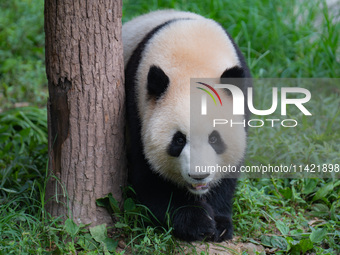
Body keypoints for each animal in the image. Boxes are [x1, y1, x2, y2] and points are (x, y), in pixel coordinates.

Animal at [123, 9, 251, 241]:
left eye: (214, 138)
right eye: (179, 140)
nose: (199, 176)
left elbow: (229, 172)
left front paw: (220, 224)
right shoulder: (137, 107)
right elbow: (150, 177)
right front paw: (199, 222)